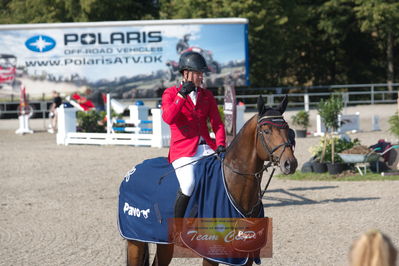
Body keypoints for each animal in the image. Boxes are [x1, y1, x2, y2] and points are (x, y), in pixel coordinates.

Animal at [126, 95, 298, 266]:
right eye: (267, 131)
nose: (290, 163)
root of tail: (133, 171)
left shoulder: (247, 254)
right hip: (135, 241)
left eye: (288, 130)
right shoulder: (211, 254)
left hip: (163, 242)